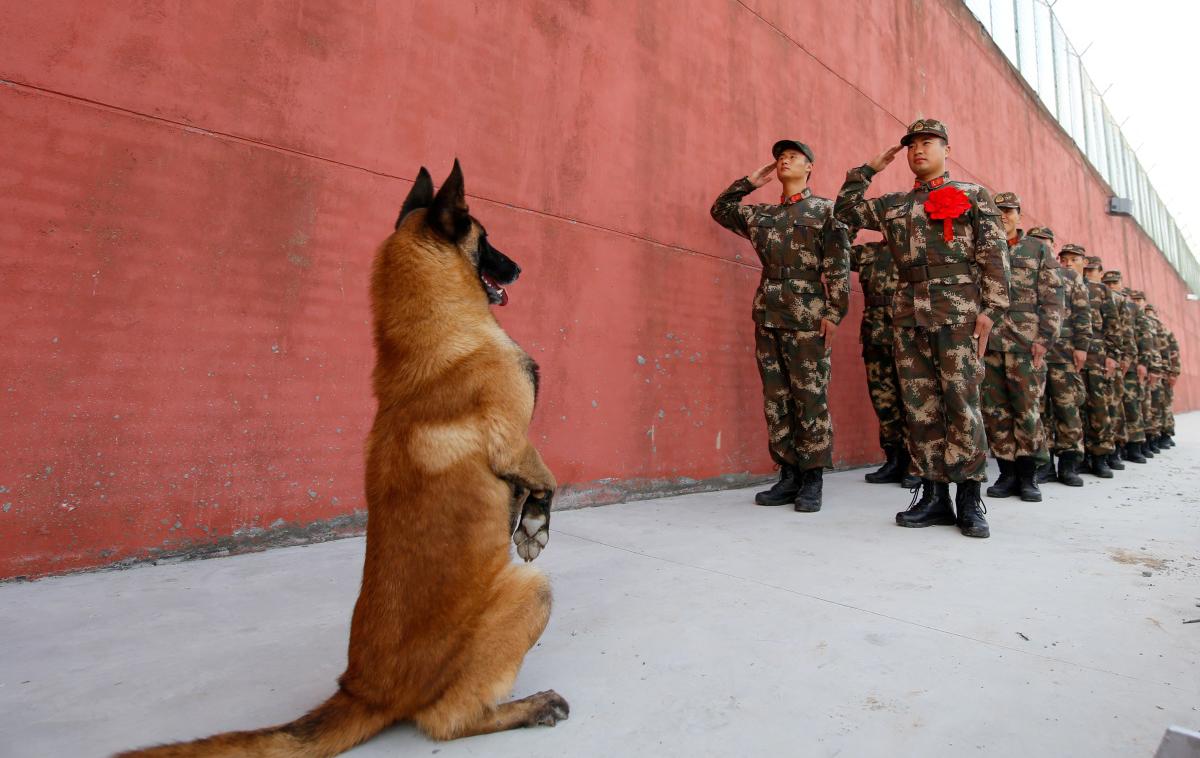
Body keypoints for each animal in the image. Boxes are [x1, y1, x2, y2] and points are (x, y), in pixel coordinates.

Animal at [121, 161, 566, 758]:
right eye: (487, 239)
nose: (518, 268)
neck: (439, 336)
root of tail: (363, 692)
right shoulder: (512, 439)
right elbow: (546, 477)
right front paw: (534, 527)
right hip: (529, 592)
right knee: (448, 721)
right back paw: (529, 708)